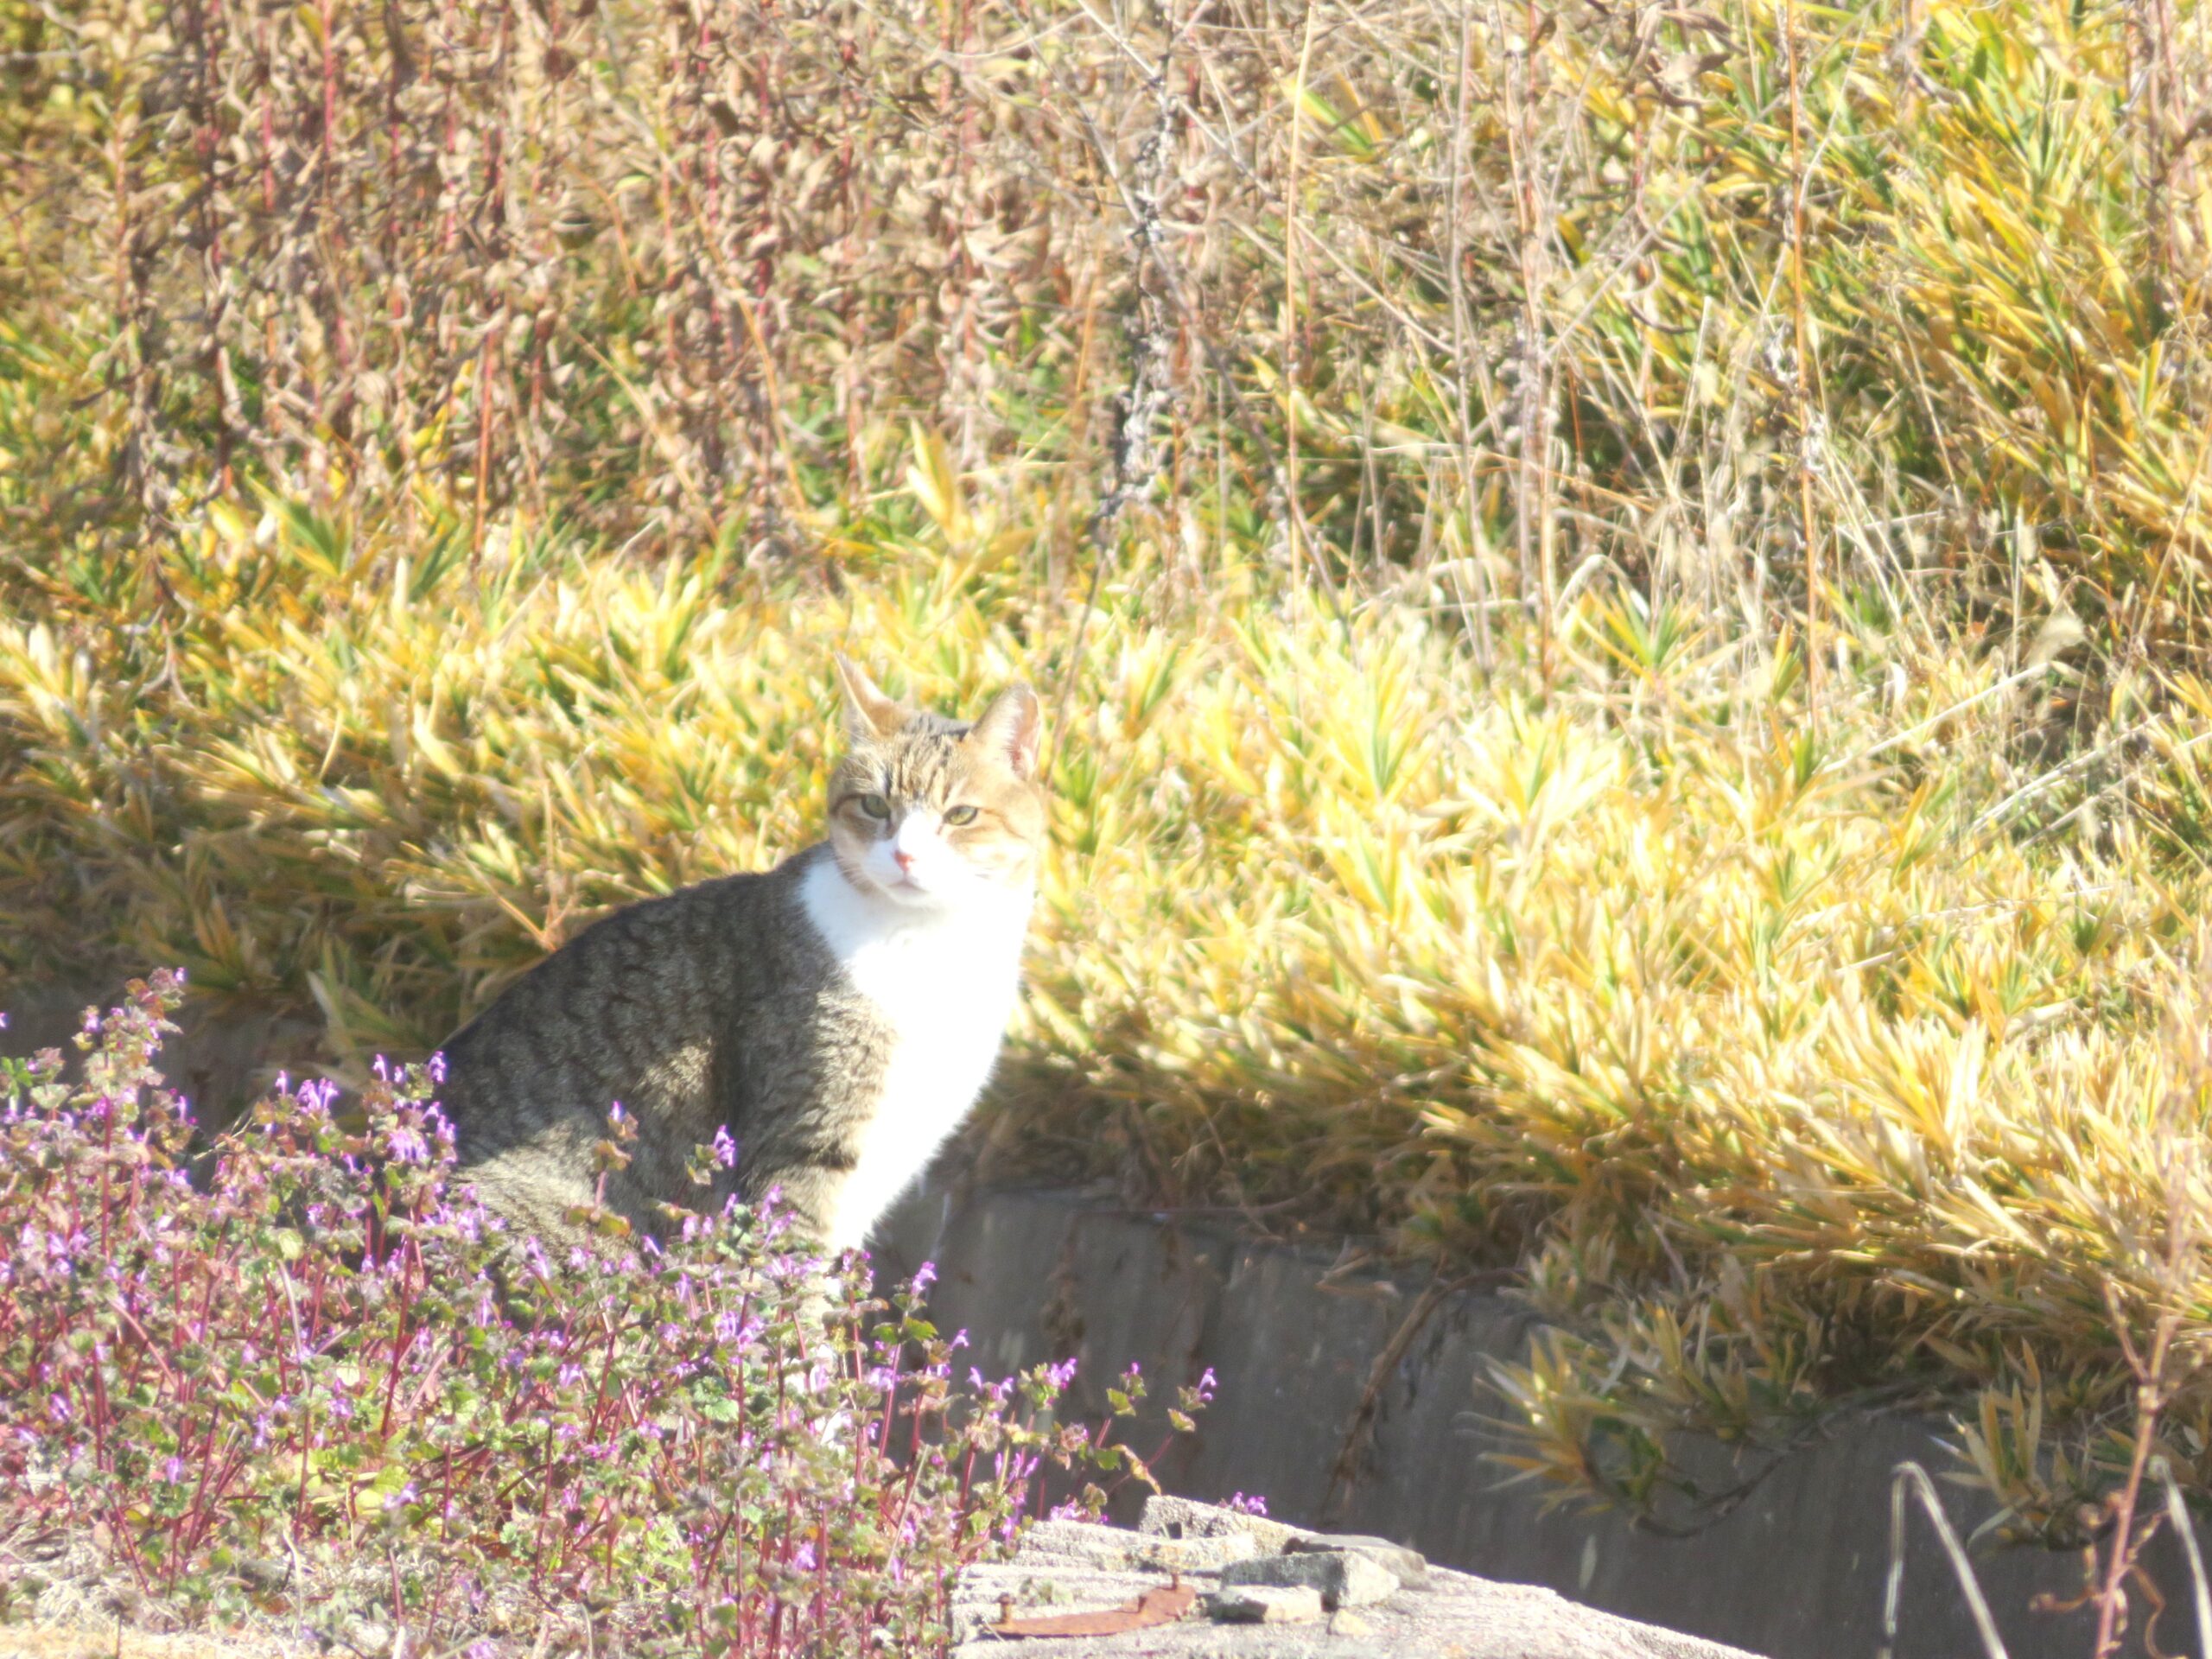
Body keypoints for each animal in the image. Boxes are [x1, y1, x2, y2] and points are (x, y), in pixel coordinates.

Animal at [440, 654, 1052, 1256]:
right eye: (875, 805)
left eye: (962, 815)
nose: (905, 856)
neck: (925, 942)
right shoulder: (807, 1138)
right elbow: (793, 1267)